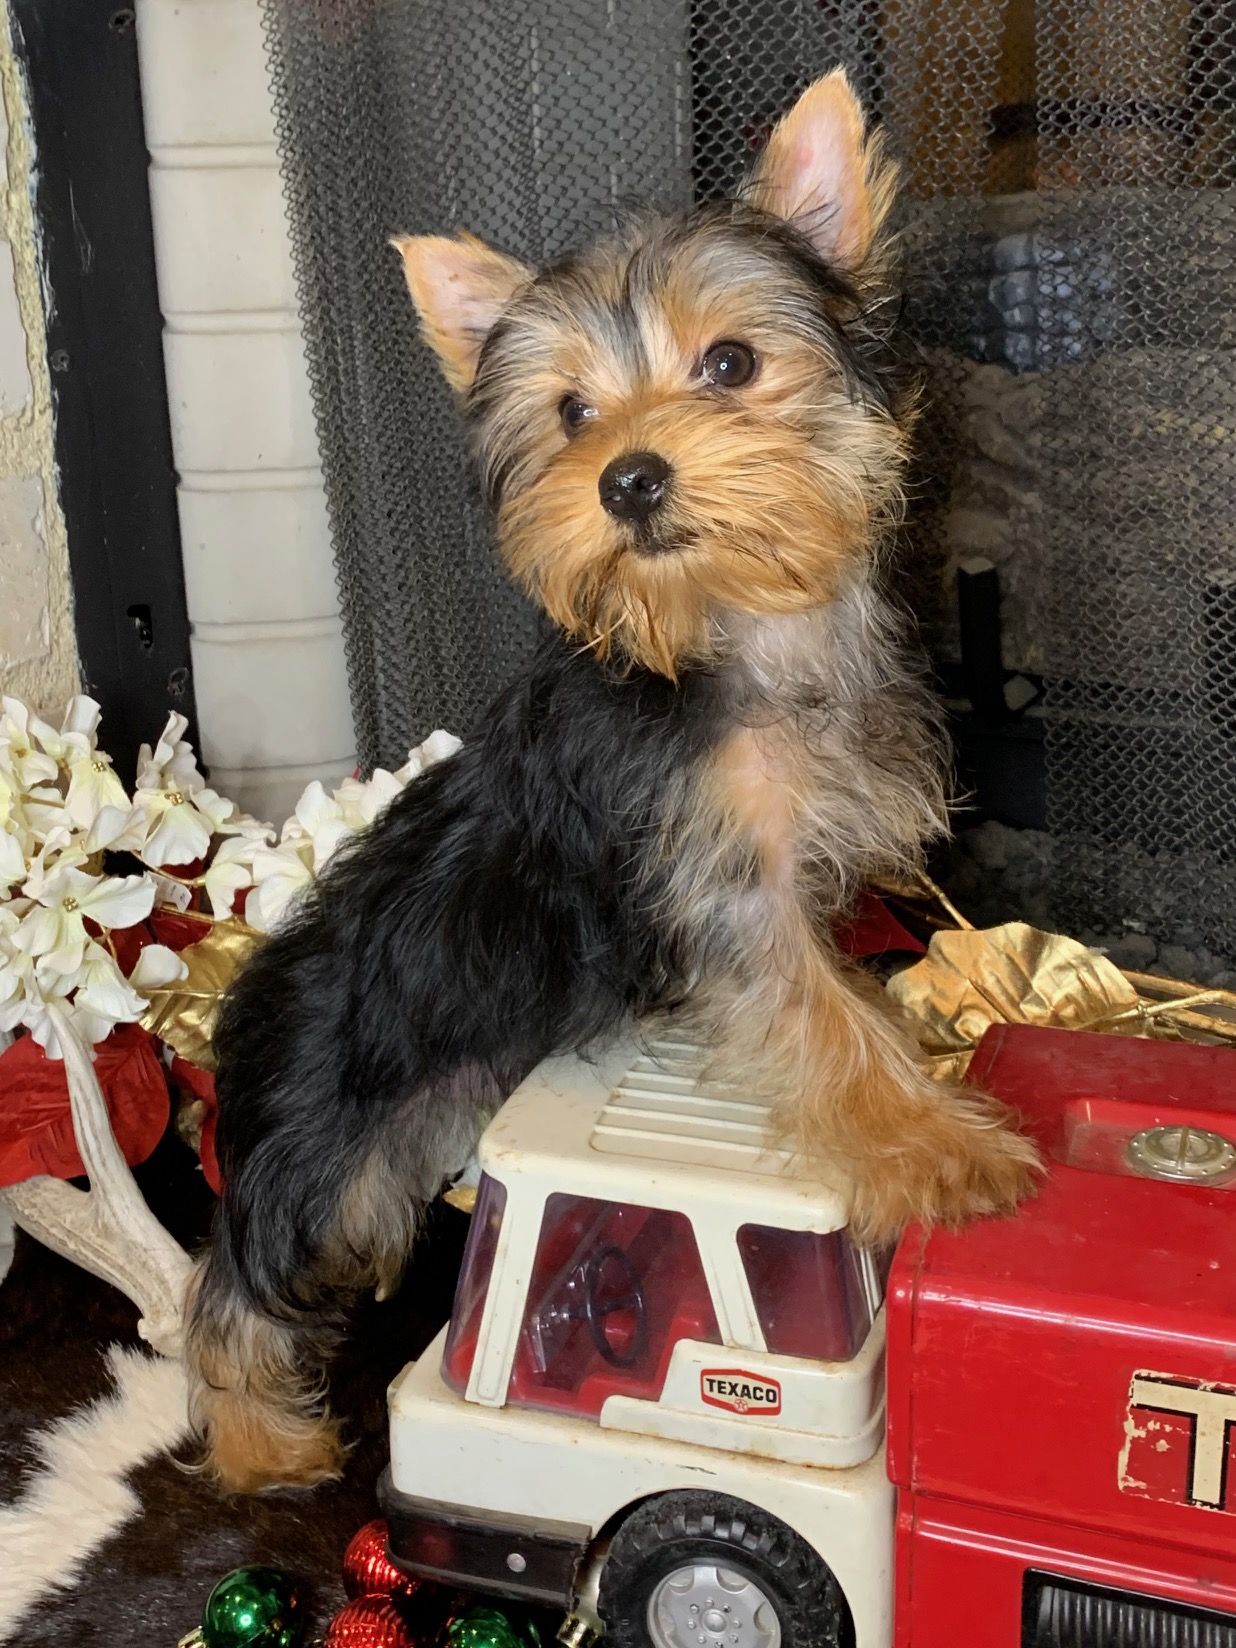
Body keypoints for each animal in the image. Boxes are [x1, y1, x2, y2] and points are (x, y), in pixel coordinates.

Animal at [191, 74, 1048, 1496]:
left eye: (732, 365)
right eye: (571, 416)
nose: (628, 476)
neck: (730, 630)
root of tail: (244, 991)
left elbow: (837, 994)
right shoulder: (720, 889)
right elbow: (821, 1018)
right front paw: (943, 1145)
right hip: (328, 1125)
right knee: (242, 1267)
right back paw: (263, 1441)